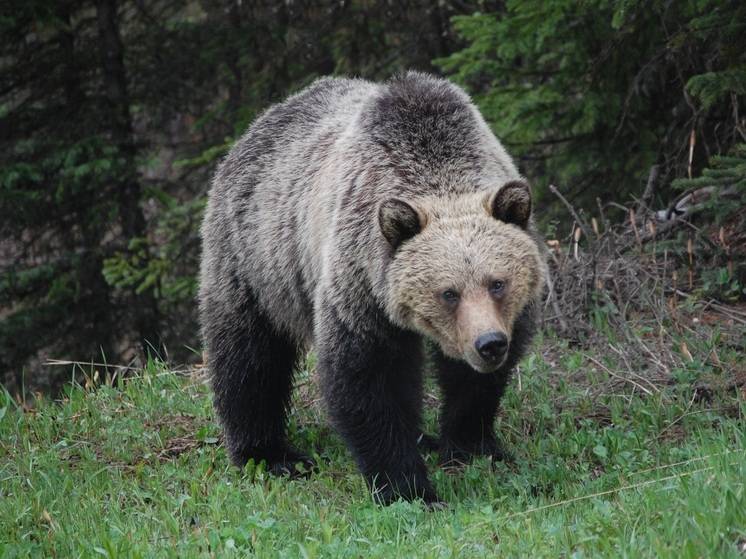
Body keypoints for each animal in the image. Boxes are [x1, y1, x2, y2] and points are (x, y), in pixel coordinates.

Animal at [198, 72, 548, 506]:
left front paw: (473, 445)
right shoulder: (361, 283)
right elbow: (369, 378)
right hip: (255, 258)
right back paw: (269, 454)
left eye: (497, 283)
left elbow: (474, 384)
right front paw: (408, 487)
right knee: (250, 356)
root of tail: (260, 122)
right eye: (448, 292)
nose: (489, 344)